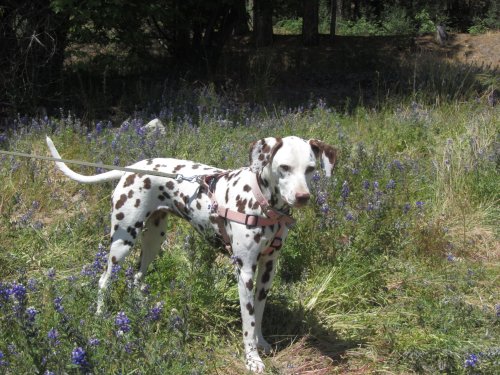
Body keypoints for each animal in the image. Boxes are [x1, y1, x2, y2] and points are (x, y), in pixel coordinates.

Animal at [46, 134, 336, 374]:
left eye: (310, 169)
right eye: (284, 167)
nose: (302, 197)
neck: (264, 204)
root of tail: (134, 169)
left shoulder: (267, 270)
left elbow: (259, 313)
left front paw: (261, 343)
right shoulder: (245, 272)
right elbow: (248, 322)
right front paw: (252, 359)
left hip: (154, 240)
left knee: (137, 279)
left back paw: (143, 311)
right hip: (123, 241)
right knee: (104, 280)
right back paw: (100, 316)